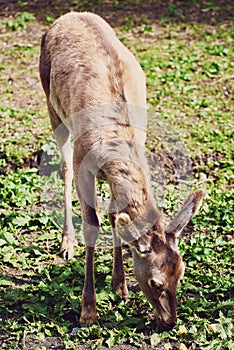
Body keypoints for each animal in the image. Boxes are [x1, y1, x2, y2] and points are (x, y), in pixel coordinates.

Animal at [38, 12, 205, 330]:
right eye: (155, 282)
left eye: (181, 271)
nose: (170, 322)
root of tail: (68, 16)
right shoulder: (83, 164)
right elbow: (92, 226)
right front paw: (88, 310)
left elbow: (116, 217)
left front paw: (120, 284)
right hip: (52, 106)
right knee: (63, 168)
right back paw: (66, 244)